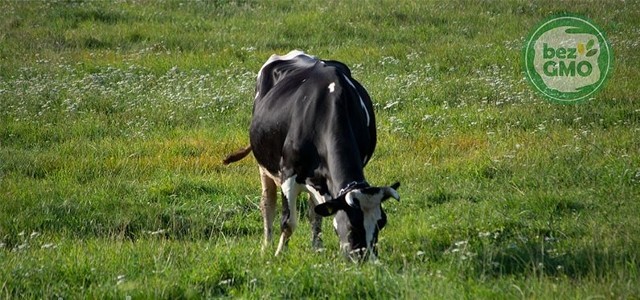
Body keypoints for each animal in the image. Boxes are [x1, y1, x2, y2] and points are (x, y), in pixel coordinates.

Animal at [222, 49, 398, 260]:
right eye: (353, 224)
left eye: (382, 222)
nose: (367, 260)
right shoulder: (288, 174)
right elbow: (288, 223)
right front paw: (279, 254)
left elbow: (317, 214)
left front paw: (317, 249)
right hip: (264, 165)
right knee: (267, 204)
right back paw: (266, 245)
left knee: (314, 212)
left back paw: (316, 246)